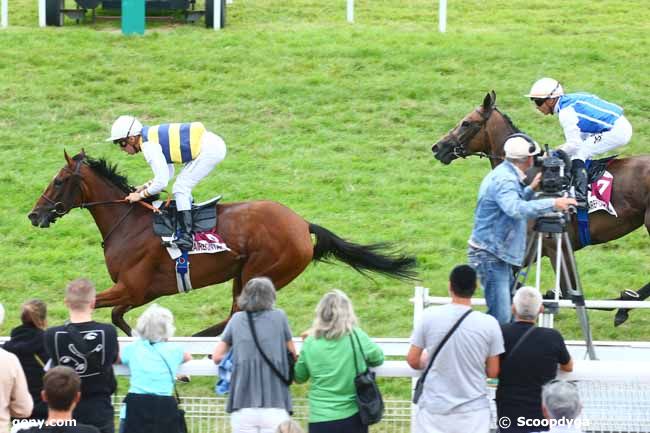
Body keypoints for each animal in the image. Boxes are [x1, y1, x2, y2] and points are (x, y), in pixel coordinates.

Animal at [29, 150, 416, 336]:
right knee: (235, 316)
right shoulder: (141, 292)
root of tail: (302, 224)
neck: (130, 225)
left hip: (260, 272)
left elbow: (94, 308)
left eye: (59, 181)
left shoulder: (132, 287)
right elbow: (116, 316)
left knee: (236, 316)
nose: (35, 214)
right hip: (242, 276)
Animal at [430, 91, 648, 326]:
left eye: (466, 123)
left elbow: (568, 292)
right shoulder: (531, 249)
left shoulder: (555, 247)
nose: (437, 147)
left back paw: (625, 302)